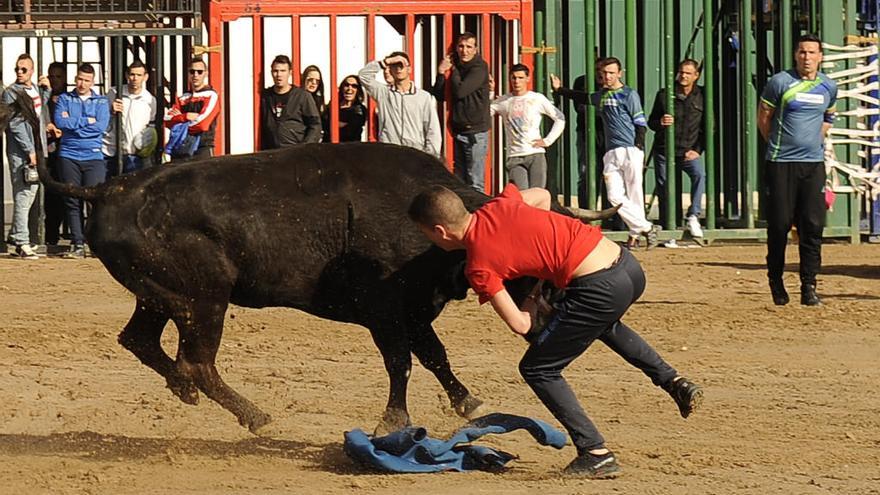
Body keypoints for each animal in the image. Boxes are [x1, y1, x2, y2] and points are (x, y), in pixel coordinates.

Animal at [3, 93, 616, 434]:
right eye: (532, 263)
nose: (543, 324)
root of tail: (108, 188)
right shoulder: (386, 313)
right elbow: (402, 363)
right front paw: (394, 420)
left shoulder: (414, 311)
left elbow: (434, 356)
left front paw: (468, 401)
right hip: (205, 298)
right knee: (196, 359)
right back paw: (251, 414)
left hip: (160, 295)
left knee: (142, 341)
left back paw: (186, 391)